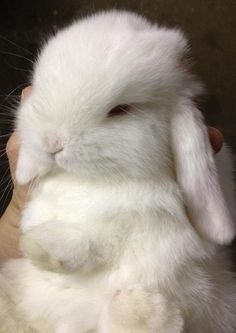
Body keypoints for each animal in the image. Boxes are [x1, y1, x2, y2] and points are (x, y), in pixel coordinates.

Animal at [0, 10, 236, 332]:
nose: (51, 142)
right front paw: (37, 246)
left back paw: (144, 310)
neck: (92, 183)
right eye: (38, 90)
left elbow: (97, 244)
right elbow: (84, 245)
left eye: (120, 110)